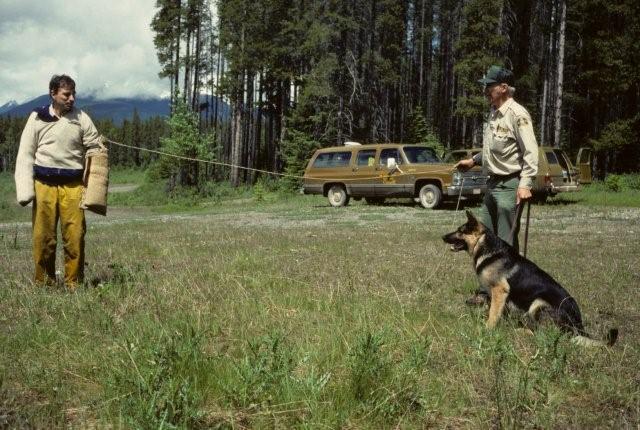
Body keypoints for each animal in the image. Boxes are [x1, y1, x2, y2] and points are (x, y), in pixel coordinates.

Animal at [442, 210, 616, 348]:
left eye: (460, 231)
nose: (442, 237)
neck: (485, 247)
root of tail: (578, 325)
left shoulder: (499, 291)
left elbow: (493, 314)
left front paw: (487, 330)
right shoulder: (501, 297)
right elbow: (498, 312)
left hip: (538, 304)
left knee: (543, 334)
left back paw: (520, 331)